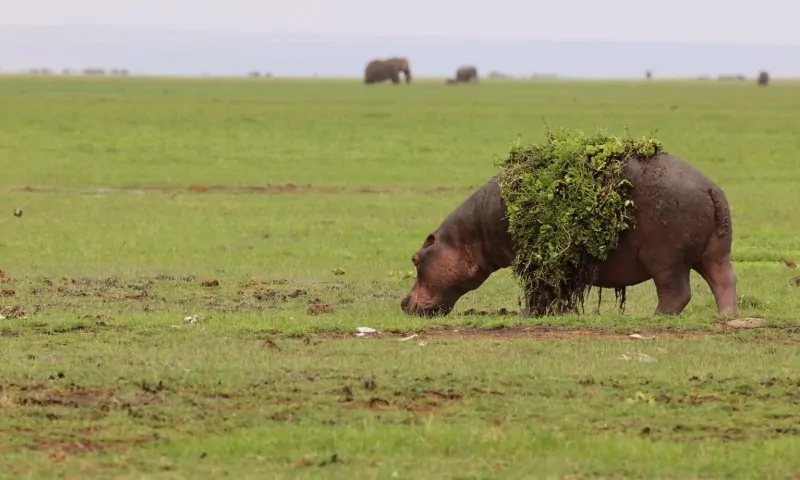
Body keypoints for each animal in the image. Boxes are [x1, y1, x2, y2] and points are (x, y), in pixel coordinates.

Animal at [400, 152, 739, 317]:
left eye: (415, 258)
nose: (403, 303)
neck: (468, 236)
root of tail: (710, 188)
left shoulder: (532, 261)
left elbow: (538, 290)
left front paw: (529, 314)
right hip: (714, 253)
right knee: (725, 281)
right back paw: (726, 316)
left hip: (667, 258)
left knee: (675, 293)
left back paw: (656, 317)